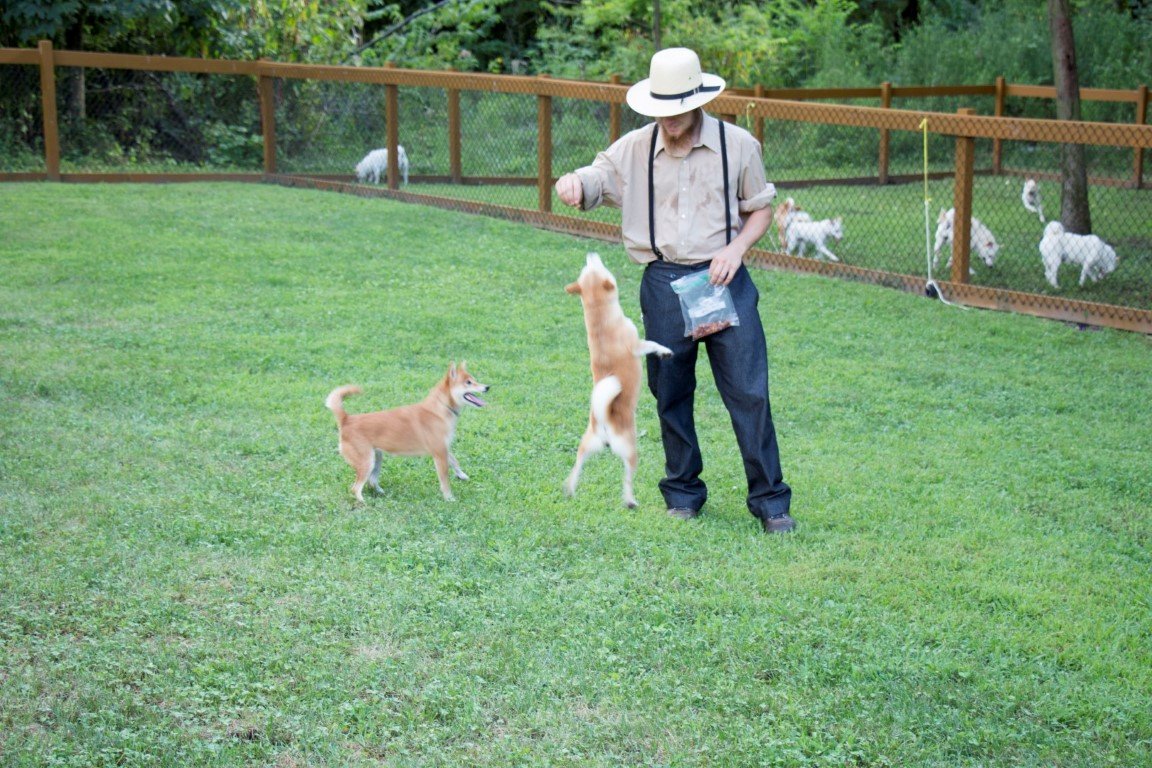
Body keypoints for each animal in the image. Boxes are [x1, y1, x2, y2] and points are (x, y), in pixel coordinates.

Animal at [325, 362, 488, 502]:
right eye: (468, 382)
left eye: (474, 380)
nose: (487, 387)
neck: (441, 408)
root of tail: (346, 419)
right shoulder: (439, 453)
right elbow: (445, 479)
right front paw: (449, 498)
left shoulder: (443, 448)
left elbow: (455, 461)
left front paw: (462, 475)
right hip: (366, 462)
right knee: (355, 488)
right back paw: (364, 503)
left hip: (376, 459)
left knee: (371, 481)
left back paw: (380, 492)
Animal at [564, 252, 672, 509]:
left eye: (589, 266)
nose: (591, 253)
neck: (600, 316)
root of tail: (604, 420)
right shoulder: (638, 345)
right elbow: (652, 344)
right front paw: (665, 351)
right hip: (630, 450)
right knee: (627, 477)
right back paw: (630, 500)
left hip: (588, 443)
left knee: (577, 464)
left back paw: (570, 488)